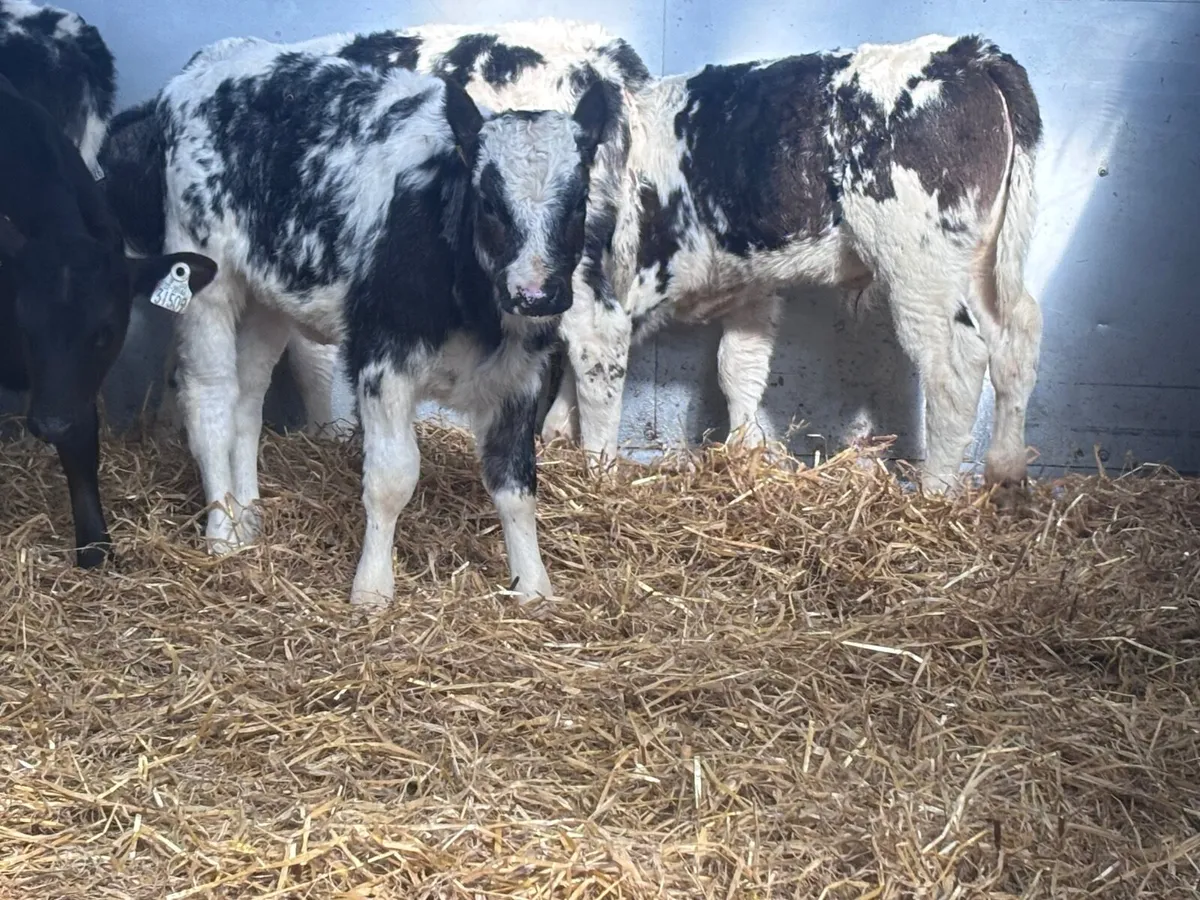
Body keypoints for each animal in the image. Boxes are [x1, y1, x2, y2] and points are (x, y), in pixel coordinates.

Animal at [0, 72, 217, 566]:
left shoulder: (77, 390)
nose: (50, 425)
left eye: (104, 332)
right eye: (25, 326)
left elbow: (83, 446)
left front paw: (95, 545)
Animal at [139, 41, 609, 605]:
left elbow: (515, 484)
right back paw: (222, 534)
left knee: (247, 401)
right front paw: (372, 589)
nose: (535, 293)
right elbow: (391, 478)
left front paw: (533, 587)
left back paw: (249, 518)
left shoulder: (519, 374)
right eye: (490, 203)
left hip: (268, 295)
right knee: (210, 397)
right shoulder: (382, 357)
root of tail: (219, 55)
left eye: (578, 201)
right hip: (204, 274)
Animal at [538, 33, 1043, 496]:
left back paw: (936, 493)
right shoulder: (749, 284)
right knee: (1016, 335)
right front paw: (745, 453)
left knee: (956, 365)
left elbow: (595, 381)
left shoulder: (595, 301)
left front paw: (595, 475)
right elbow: (737, 367)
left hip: (919, 266)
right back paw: (1006, 471)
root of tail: (967, 51)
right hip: (982, 258)